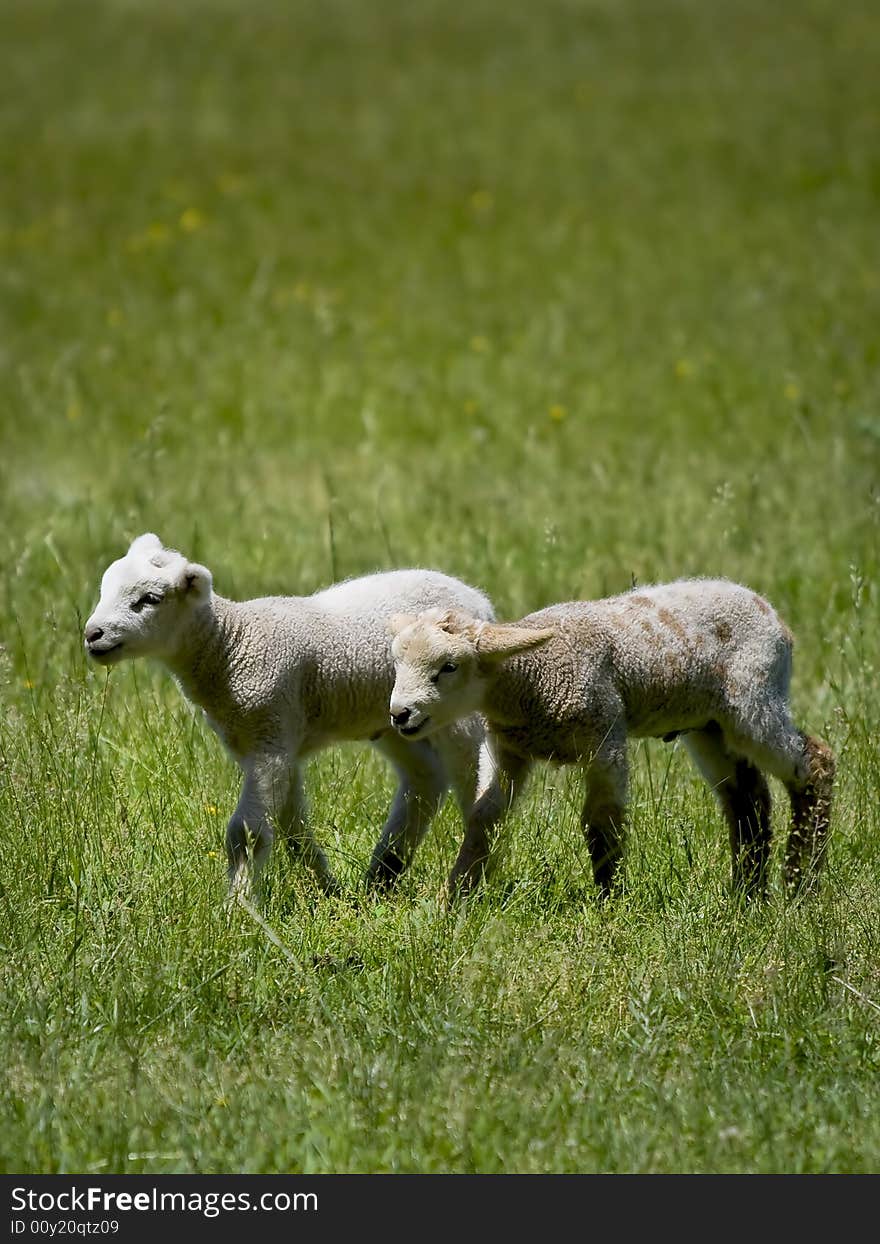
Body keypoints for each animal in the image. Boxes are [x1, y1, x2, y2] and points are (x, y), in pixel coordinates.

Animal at [87, 529, 510, 900]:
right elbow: (291, 828)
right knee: (425, 779)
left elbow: (247, 833)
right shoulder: (271, 739)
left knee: (478, 787)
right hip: (394, 717)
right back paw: (383, 873)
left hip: (456, 712)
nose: (93, 634)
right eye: (104, 587)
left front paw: (237, 909)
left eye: (150, 599)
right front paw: (327, 890)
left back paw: (474, 880)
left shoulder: (270, 732)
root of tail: (480, 601)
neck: (231, 644)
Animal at [388, 577, 836, 900]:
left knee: (814, 765)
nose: (399, 714)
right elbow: (484, 818)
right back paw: (747, 892)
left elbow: (601, 823)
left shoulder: (605, 736)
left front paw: (609, 900)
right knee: (748, 799)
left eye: (449, 666)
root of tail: (773, 615)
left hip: (753, 699)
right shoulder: (509, 751)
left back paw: (800, 883)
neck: (532, 677)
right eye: (396, 661)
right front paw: (456, 896)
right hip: (710, 725)